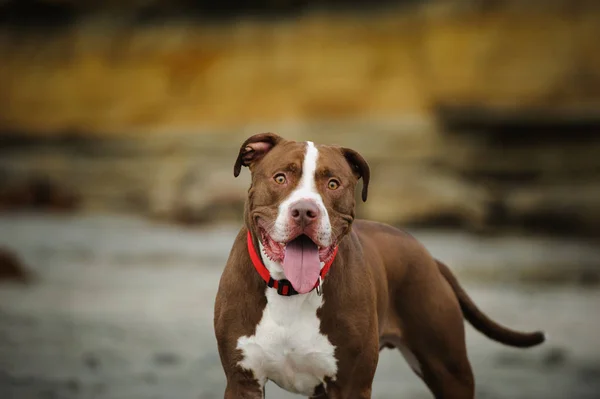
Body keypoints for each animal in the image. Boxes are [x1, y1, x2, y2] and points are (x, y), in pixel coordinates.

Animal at [213, 134, 548, 399]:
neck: (289, 290)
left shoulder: (351, 385)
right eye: (280, 177)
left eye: (333, 183)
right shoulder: (243, 383)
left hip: (449, 370)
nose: (305, 211)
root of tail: (429, 256)